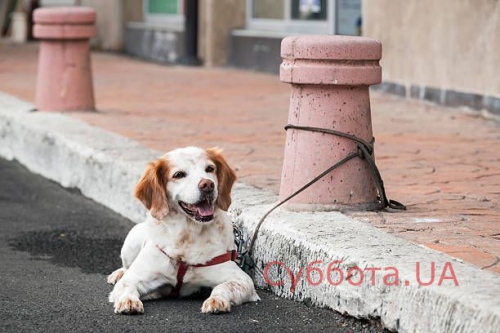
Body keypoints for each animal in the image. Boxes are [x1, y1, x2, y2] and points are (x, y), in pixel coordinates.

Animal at [107, 146, 260, 314]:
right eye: (179, 175)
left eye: (210, 169)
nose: (208, 185)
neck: (187, 235)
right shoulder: (134, 277)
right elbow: (126, 285)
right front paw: (128, 301)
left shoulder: (241, 279)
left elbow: (223, 287)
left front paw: (216, 300)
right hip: (130, 243)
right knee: (125, 267)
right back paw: (118, 273)